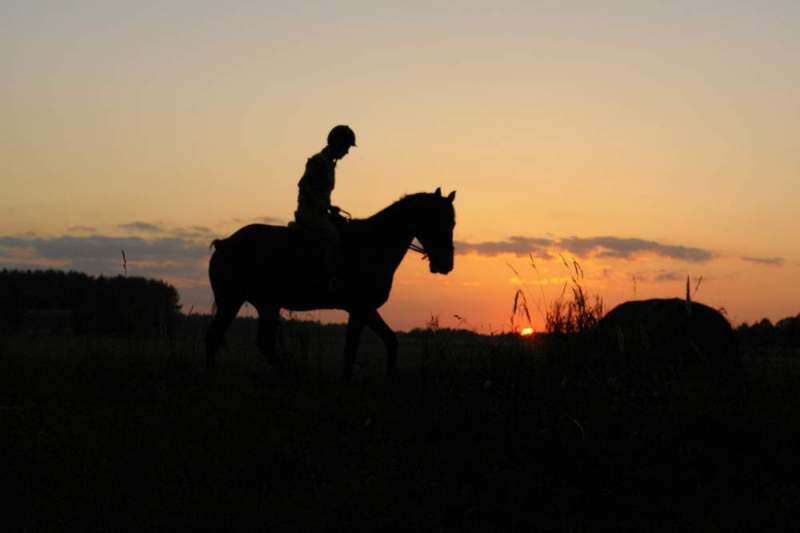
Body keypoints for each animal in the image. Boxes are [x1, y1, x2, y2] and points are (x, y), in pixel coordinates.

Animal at [206, 187, 456, 378]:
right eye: (438, 221)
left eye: (452, 223)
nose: (446, 265)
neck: (373, 244)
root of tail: (224, 243)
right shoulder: (361, 308)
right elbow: (355, 347)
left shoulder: (363, 310)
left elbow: (385, 341)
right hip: (232, 301)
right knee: (216, 335)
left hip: (266, 305)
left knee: (260, 342)